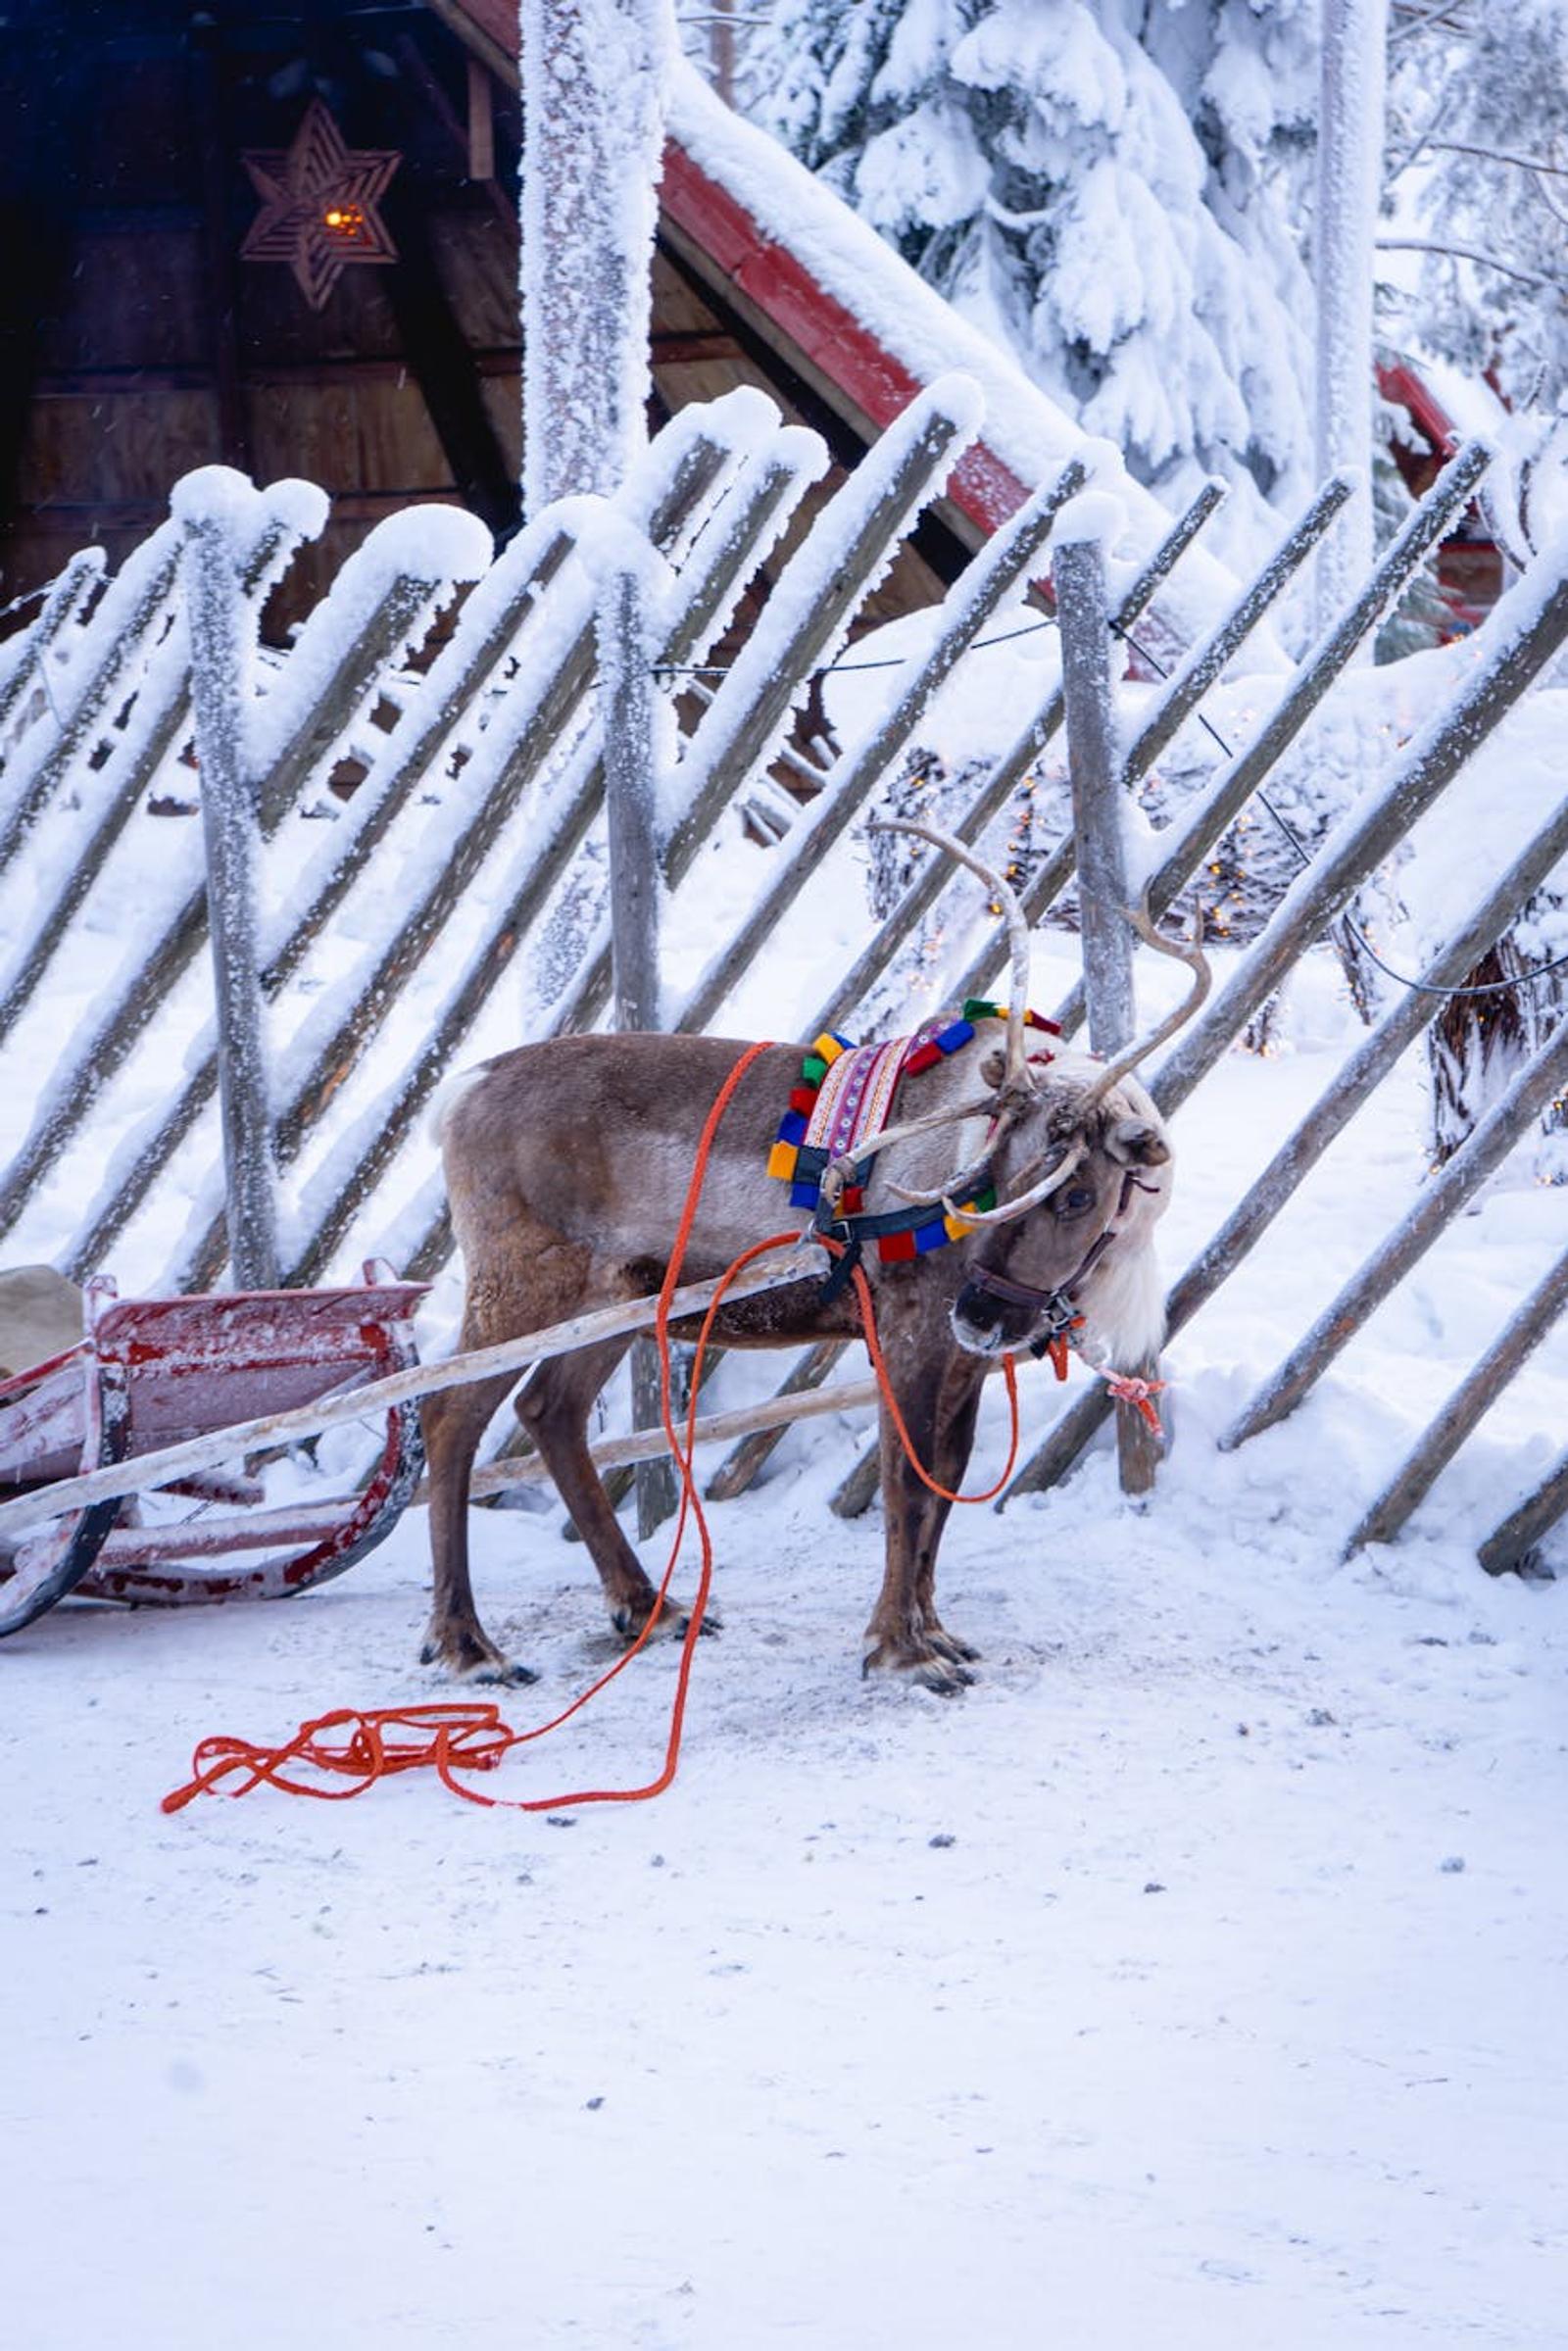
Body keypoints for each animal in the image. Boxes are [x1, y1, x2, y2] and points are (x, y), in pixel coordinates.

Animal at [420, 825, 1208, 1694]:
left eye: (1077, 1193)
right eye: (993, 1175)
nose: (980, 1309)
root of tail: (457, 1093)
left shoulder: (964, 1356)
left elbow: (947, 1479)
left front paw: (934, 1629)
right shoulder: (906, 1328)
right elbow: (908, 1483)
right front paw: (900, 1650)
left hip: (614, 1299)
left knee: (549, 1412)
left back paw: (649, 1608)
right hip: (520, 1286)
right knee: (449, 1415)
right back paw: (469, 1643)